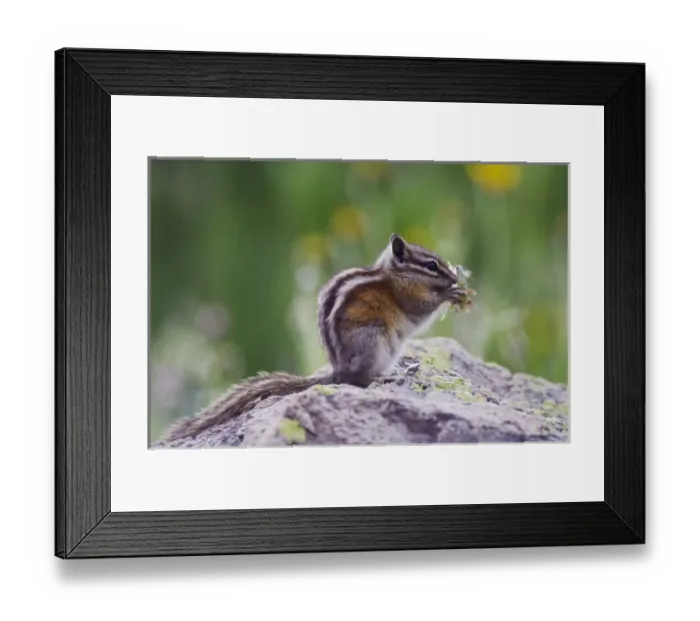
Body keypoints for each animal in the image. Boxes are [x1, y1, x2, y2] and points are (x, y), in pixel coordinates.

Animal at [161, 233, 470, 442]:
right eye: (431, 265)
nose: (455, 277)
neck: (395, 274)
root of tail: (337, 371)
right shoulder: (407, 296)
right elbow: (421, 309)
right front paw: (449, 294)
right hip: (373, 340)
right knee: (359, 380)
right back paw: (387, 378)